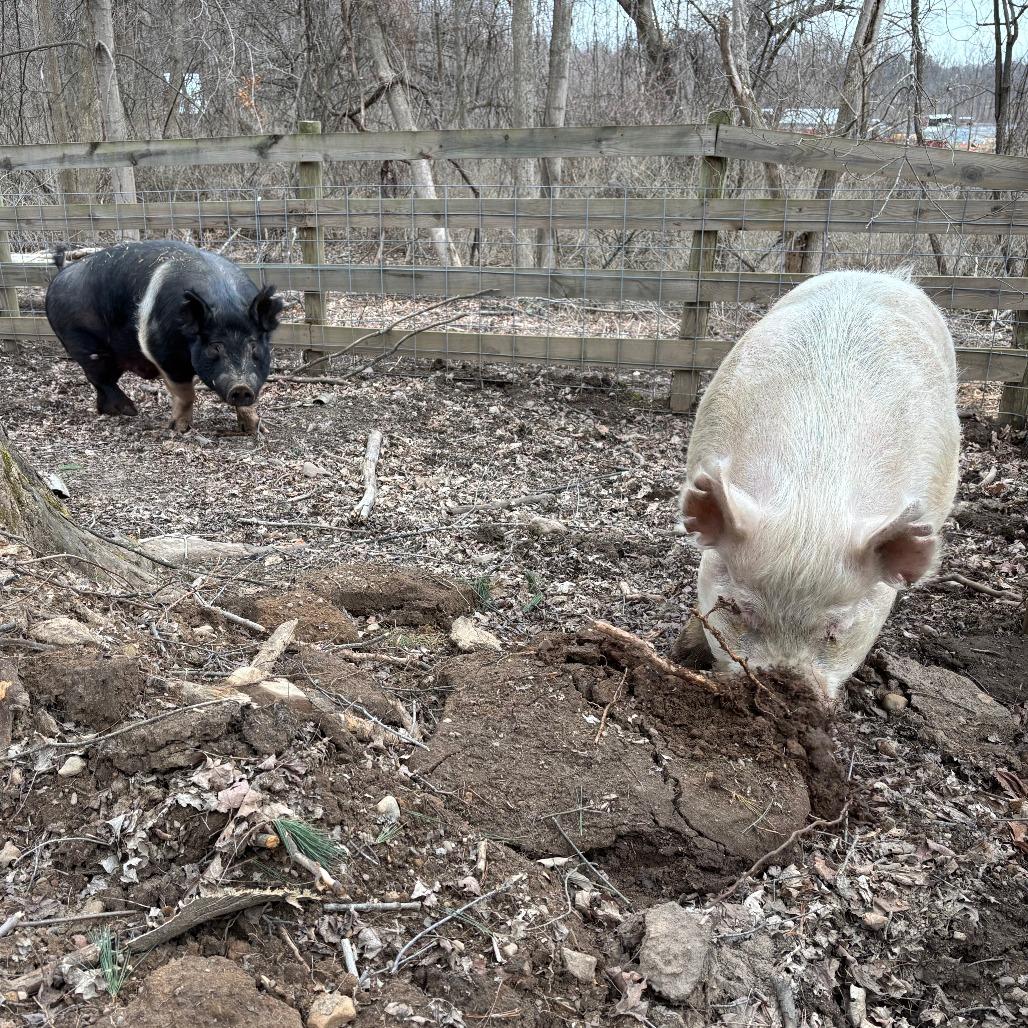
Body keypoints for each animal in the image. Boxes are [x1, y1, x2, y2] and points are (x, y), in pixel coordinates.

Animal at [45, 240, 283, 434]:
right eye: (215, 346)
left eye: (253, 345)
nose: (241, 387)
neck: (226, 304)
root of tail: (61, 274)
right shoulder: (163, 353)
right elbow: (186, 393)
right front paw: (179, 429)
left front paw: (256, 429)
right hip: (82, 343)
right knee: (100, 379)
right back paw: (129, 411)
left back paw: (112, 411)